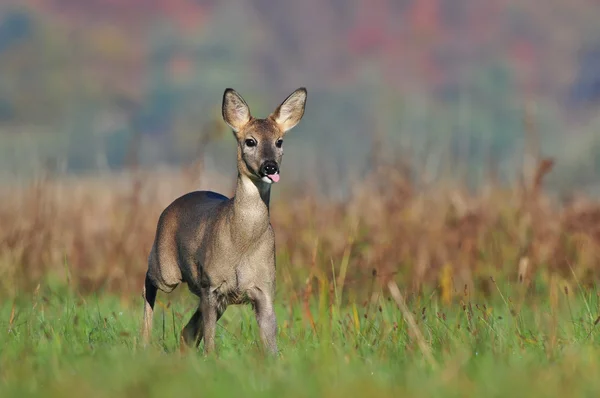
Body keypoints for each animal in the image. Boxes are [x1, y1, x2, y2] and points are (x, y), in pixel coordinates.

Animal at [142, 87, 310, 354]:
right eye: (250, 141)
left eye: (279, 141)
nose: (270, 166)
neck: (241, 241)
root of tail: (172, 204)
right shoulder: (211, 285)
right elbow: (210, 342)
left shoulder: (265, 290)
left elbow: (271, 346)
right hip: (167, 269)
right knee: (148, 279)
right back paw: (144, 340)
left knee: (186, 332)